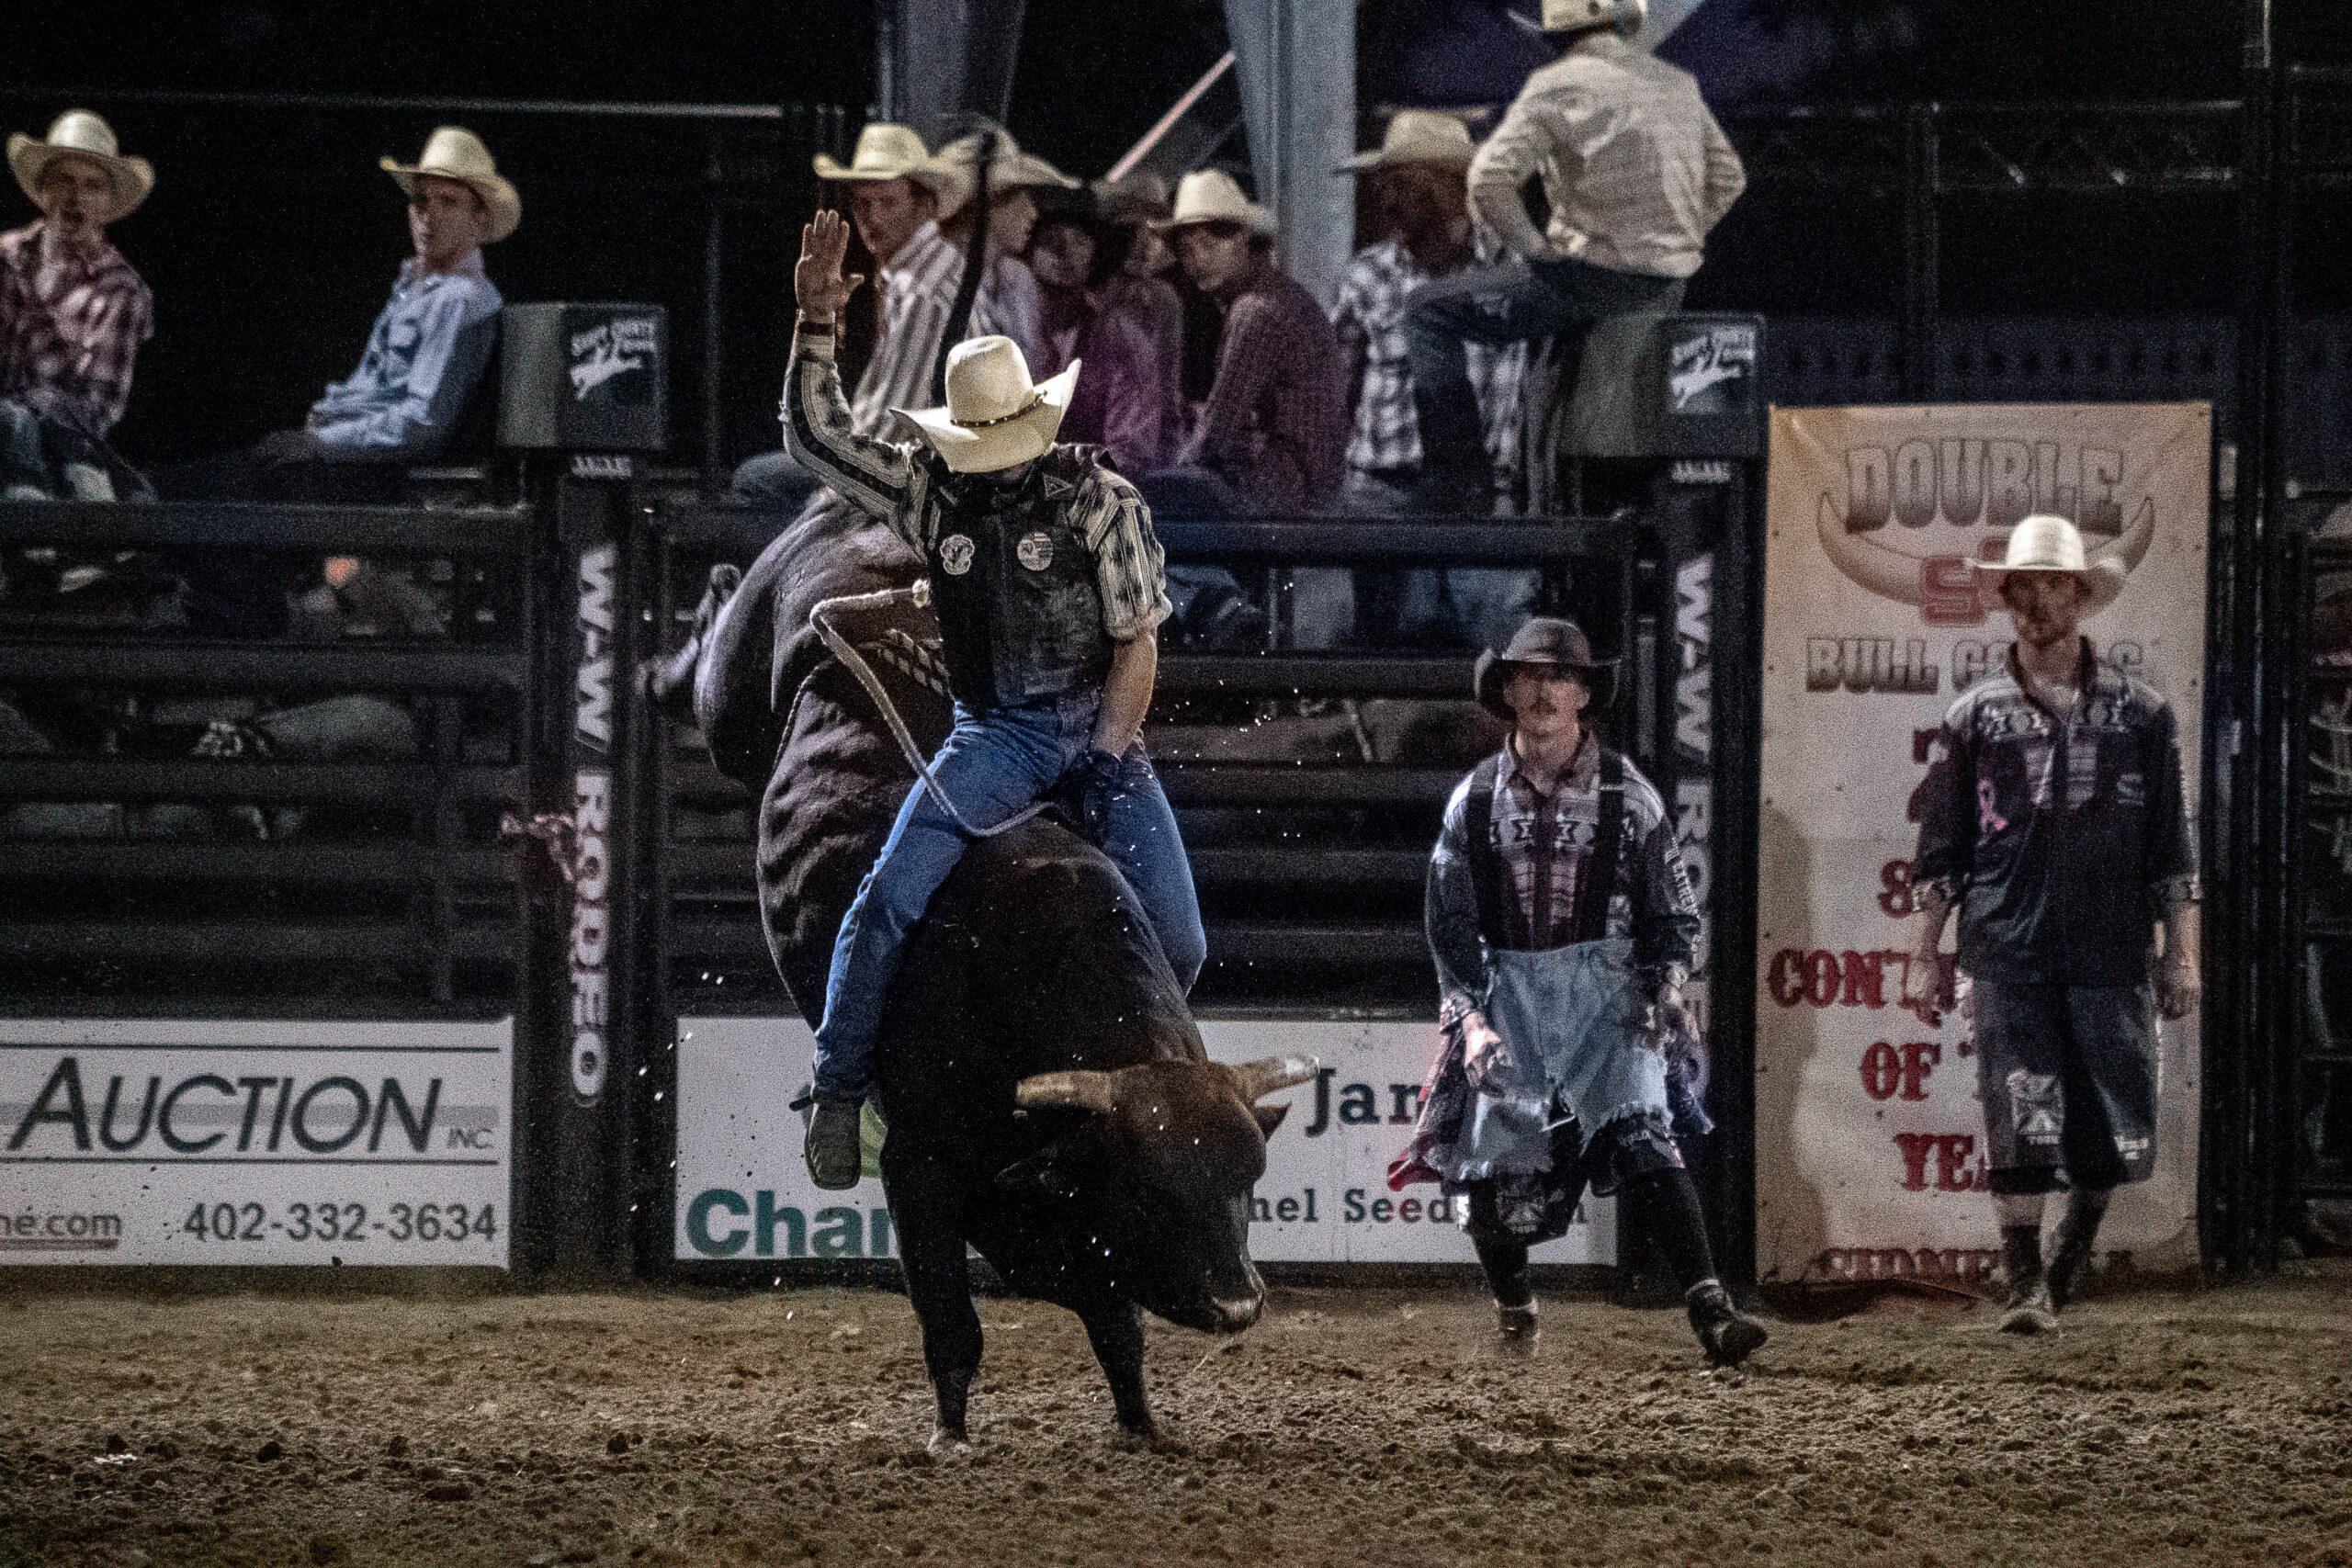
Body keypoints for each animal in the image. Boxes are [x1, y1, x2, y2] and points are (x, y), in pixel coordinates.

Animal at [653, 495, 1317, 1457]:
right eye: (1153, 1192)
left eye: (1249, 1179)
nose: (1237, 1304)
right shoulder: (919, 1174)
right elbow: (951, 1321)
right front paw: (951, 1435)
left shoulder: (1086, 1232)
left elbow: (1118, 1329)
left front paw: (1142, 1425)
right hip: (733, 693)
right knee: (708, 667)